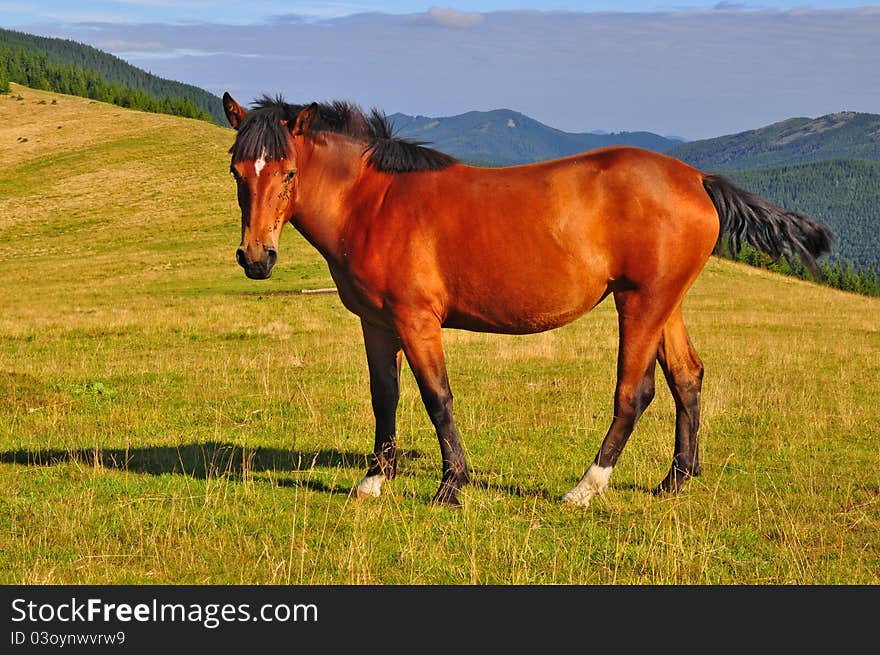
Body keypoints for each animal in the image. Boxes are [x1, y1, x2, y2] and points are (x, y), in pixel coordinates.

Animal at [220, 93, 832, 512]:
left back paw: (586, 487)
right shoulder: (377, 324)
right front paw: (375, 478)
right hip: (665, 303)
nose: (256, 258)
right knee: (688, 378)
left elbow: (436, 397)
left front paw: (451, 485)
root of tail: (697, 178)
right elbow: (384, 397)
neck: (376, 202)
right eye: (237, 171)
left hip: (641, 302)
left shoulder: (417, 321)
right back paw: (675, 480)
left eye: (289, 172)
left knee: (634, 393)